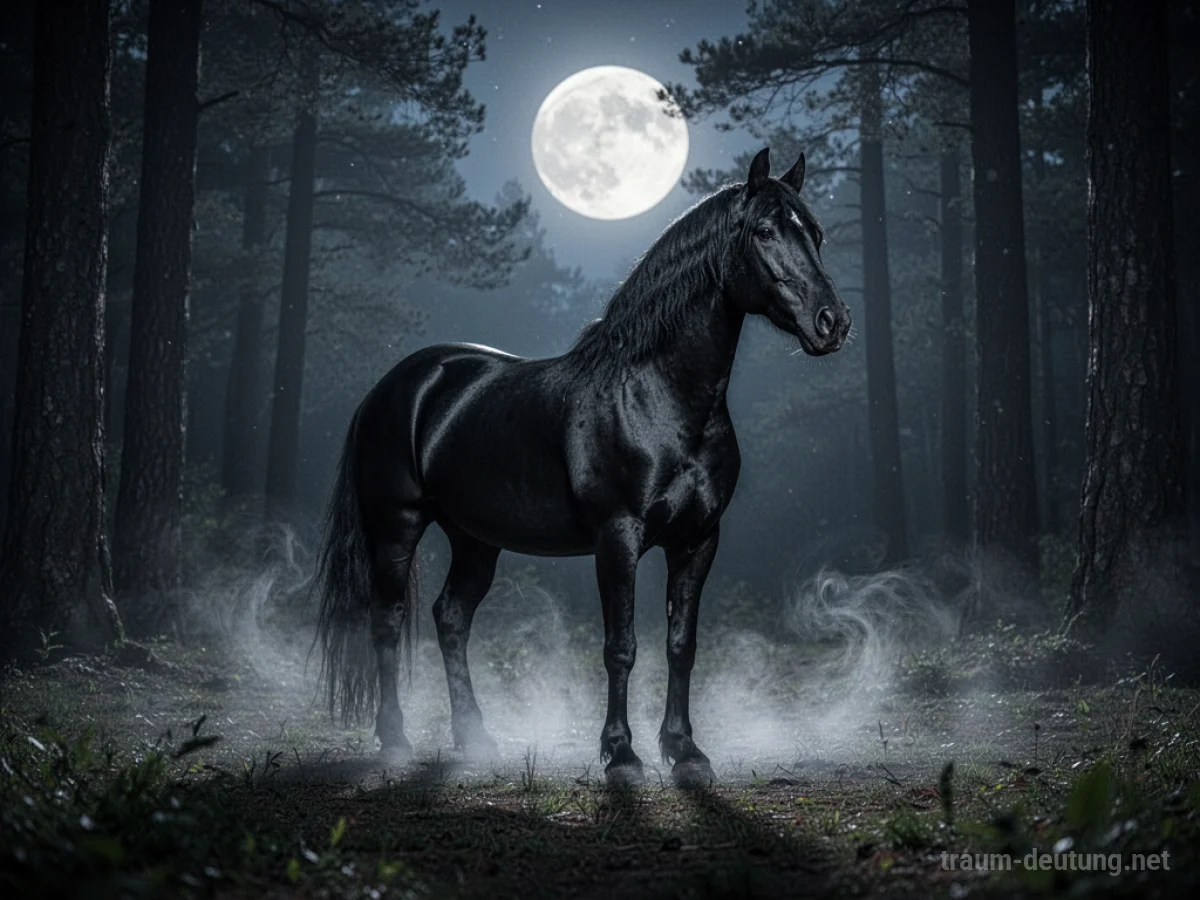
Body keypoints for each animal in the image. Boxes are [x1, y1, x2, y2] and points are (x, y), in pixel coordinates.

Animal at [313, 147, 851, 787]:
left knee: (451, 618)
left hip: (475, 539)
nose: (832, 322)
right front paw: (622, 756)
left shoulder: (698, 540)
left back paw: (475, 739)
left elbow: (681, 645)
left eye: (815, 233)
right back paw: (394, 742)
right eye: (766, 231)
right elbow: (620, 646)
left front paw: (686, 753)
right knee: (388, 622)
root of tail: (398, 384)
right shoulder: (617, 538)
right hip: (397, 526)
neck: (658, 397)